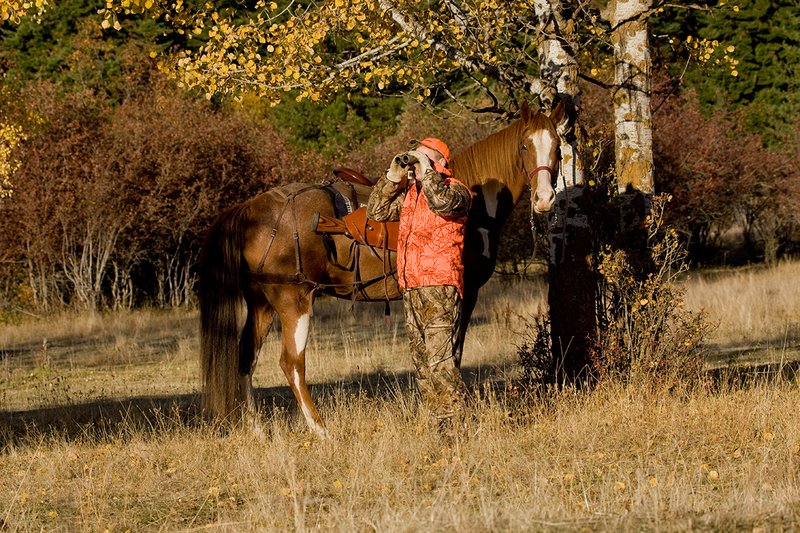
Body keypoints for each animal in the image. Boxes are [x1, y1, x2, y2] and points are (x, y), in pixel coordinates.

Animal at [198, 100, 566, 436]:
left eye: (558, 147)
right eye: (525, 145)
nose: (545, 199)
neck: (476, 204)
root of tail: (250, 209)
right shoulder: (466, 293)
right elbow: (453, 354)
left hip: (262, 304)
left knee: (246, 358)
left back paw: (256, 428)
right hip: (293, 302)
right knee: (292, 364)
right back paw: (321, 430)